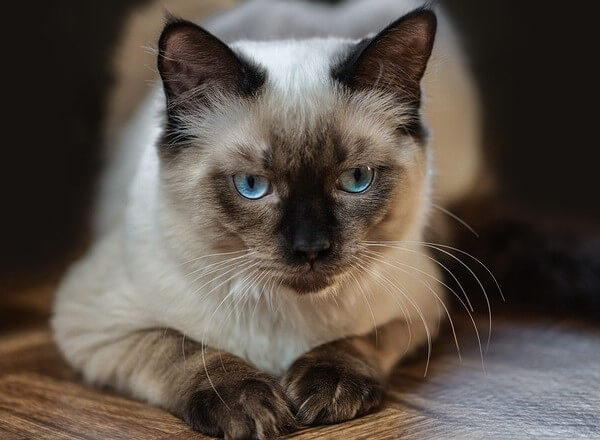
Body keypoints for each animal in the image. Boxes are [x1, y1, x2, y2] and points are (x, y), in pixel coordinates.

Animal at [54, 0, 486, 438]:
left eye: (356, 180)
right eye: (252, 185)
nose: (311, 248)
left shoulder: (418, 309)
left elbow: (360, 340)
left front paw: (326, 387)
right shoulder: (96, 324)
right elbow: (184, 347)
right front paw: (249, 406)